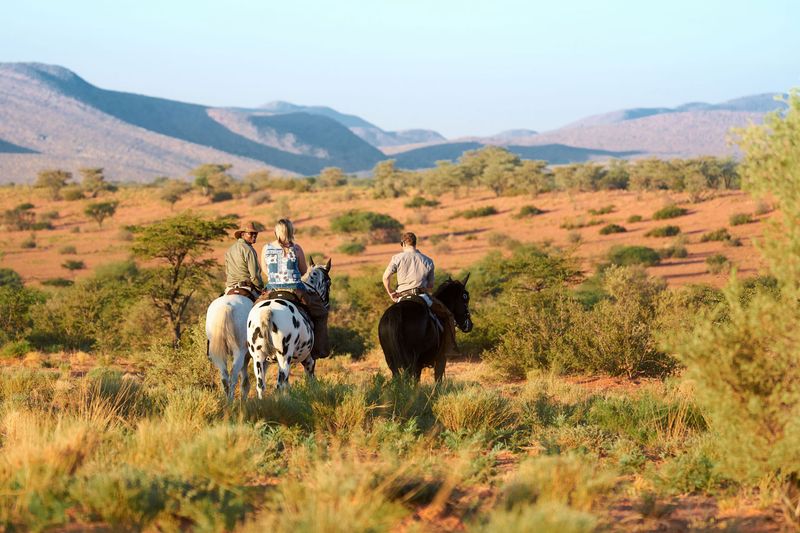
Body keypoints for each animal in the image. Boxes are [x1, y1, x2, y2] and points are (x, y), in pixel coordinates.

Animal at [246, 258, 332, 398]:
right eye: (329, 283)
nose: (327, 304)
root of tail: (268, 311)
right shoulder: (309, 360)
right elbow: (310, 381)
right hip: (284, 358)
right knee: (279, 385)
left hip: (258, 358)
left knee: (261, 386)